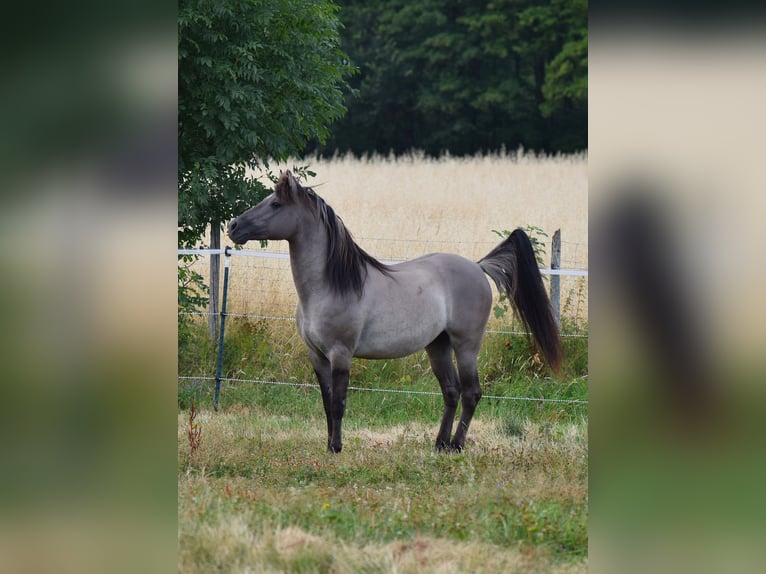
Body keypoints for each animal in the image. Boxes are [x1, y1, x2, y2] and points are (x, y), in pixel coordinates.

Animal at [228, 171, 562, 453]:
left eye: (276, 204)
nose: (233, 226)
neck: (329, 285)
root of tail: (478, 267)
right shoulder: (317, 355)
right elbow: (326, 403)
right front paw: (328, 445)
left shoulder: (340, 353)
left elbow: (339, 403)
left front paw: (336, 448)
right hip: (437, 345)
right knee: (451, 392)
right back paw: (439, 444)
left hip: (466, 345)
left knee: (471, 393)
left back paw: (456, 445)